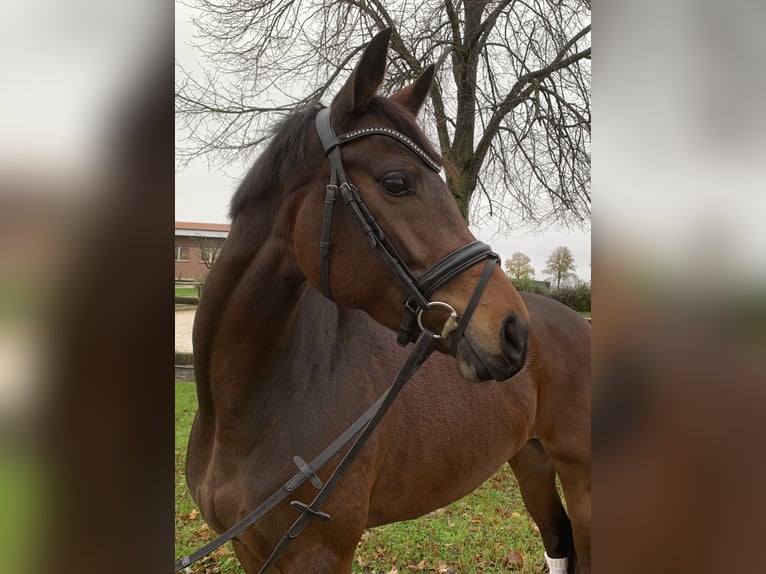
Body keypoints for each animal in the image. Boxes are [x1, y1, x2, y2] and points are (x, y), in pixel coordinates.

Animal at [188, 28, 592, 574]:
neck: (238, 415)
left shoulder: (319, 553)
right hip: (531, 459)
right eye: (397, 182)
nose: (513, 331)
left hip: (581, 473)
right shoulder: (249, 550)